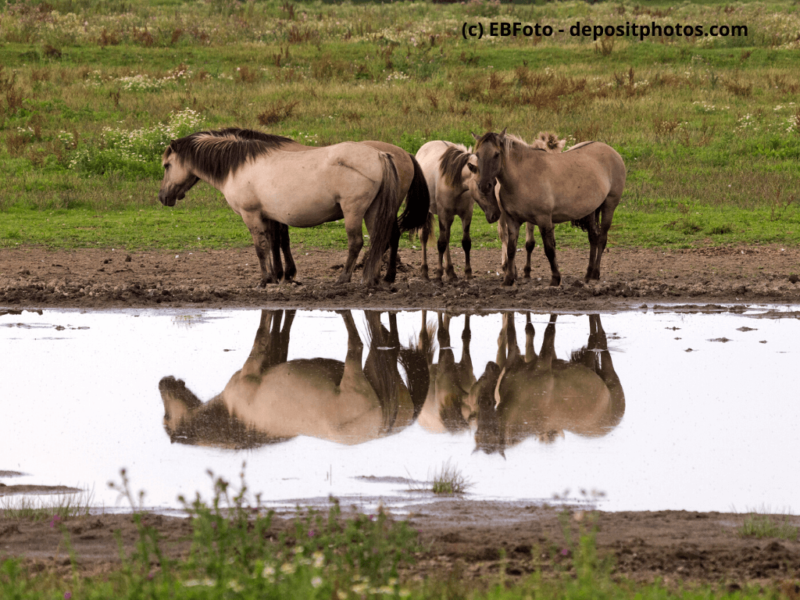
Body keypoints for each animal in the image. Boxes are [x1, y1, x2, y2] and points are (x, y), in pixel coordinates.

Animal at [158, 129, 407, 286]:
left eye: (167, 165)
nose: (163, 197)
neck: (237, 167)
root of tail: (379, 154)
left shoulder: (251, 215)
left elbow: (261, 247)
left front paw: (265, 280)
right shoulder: (268, 217)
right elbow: (273, 243)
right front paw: (278, 275)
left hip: (353, 211)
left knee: (356, 242)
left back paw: (344, 278)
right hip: (373, 211)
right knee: (379, 240)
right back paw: (373, 278)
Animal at [159, 309, 429, 449]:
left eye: (166, 417)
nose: (163, 382)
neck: (234, 411)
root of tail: (389, 426)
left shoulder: (251, 368)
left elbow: (262, 332)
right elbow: (280, 332)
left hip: (354, 371)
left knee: (356, 341)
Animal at [414, 141, 501, 282]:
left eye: (494, 182)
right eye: (480, 186)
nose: (495, 215)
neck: (456, 185)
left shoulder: (466, 215)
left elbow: (466, 242)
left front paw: (468, 273)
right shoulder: (443, 215)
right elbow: (441, 243)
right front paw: (438, 274)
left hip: (450, 218)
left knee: (447, 237)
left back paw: (450, 272)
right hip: (428, 212)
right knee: (424, 236)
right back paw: (425, 271)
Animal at [472, 129, 626, 286]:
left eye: (496, 154)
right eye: (477, 154)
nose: (484, 186)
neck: (523, 177)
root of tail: (613, 152)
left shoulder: (544, 219)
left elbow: (549, 249)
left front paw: (555, 278)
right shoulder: (512, 221)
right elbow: (511, 249)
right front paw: (508, 279)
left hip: (609, 206)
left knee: (602, 238)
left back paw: (595, 274)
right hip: (590, 210)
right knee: (593, 237)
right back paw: (588, 274)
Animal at [473, 313, 626, 456]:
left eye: (486, 402)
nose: (490, 365)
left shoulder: (544, 361)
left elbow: (549, 329)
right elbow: (512, 332)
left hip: (610, 375)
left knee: (602, 338)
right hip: (589, 364)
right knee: (593, 338)